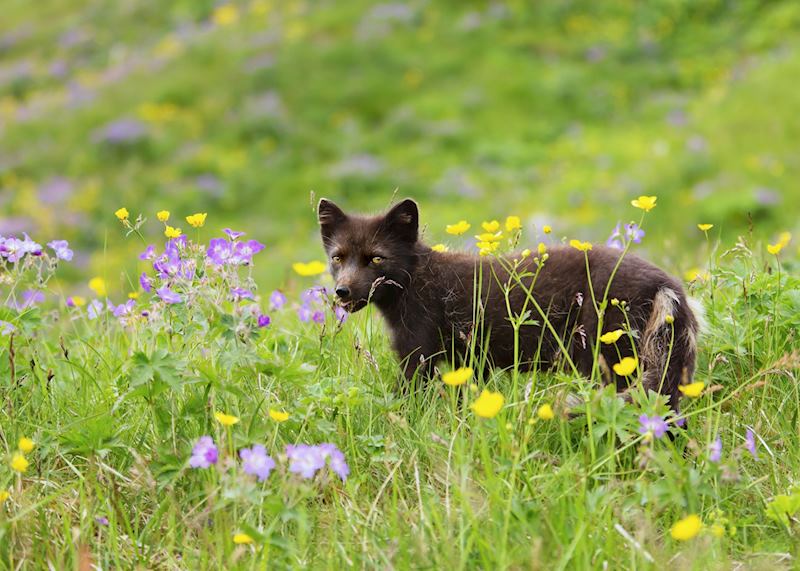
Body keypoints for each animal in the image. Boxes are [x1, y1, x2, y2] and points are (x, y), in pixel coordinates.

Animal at [317, 197, 701, 410]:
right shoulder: (468, 363)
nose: (342, 292)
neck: (416, 280)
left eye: (376, 259)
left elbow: (408, 400)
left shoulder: (417, 353)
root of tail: (666, 282)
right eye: (337, 257)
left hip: (609, 357)